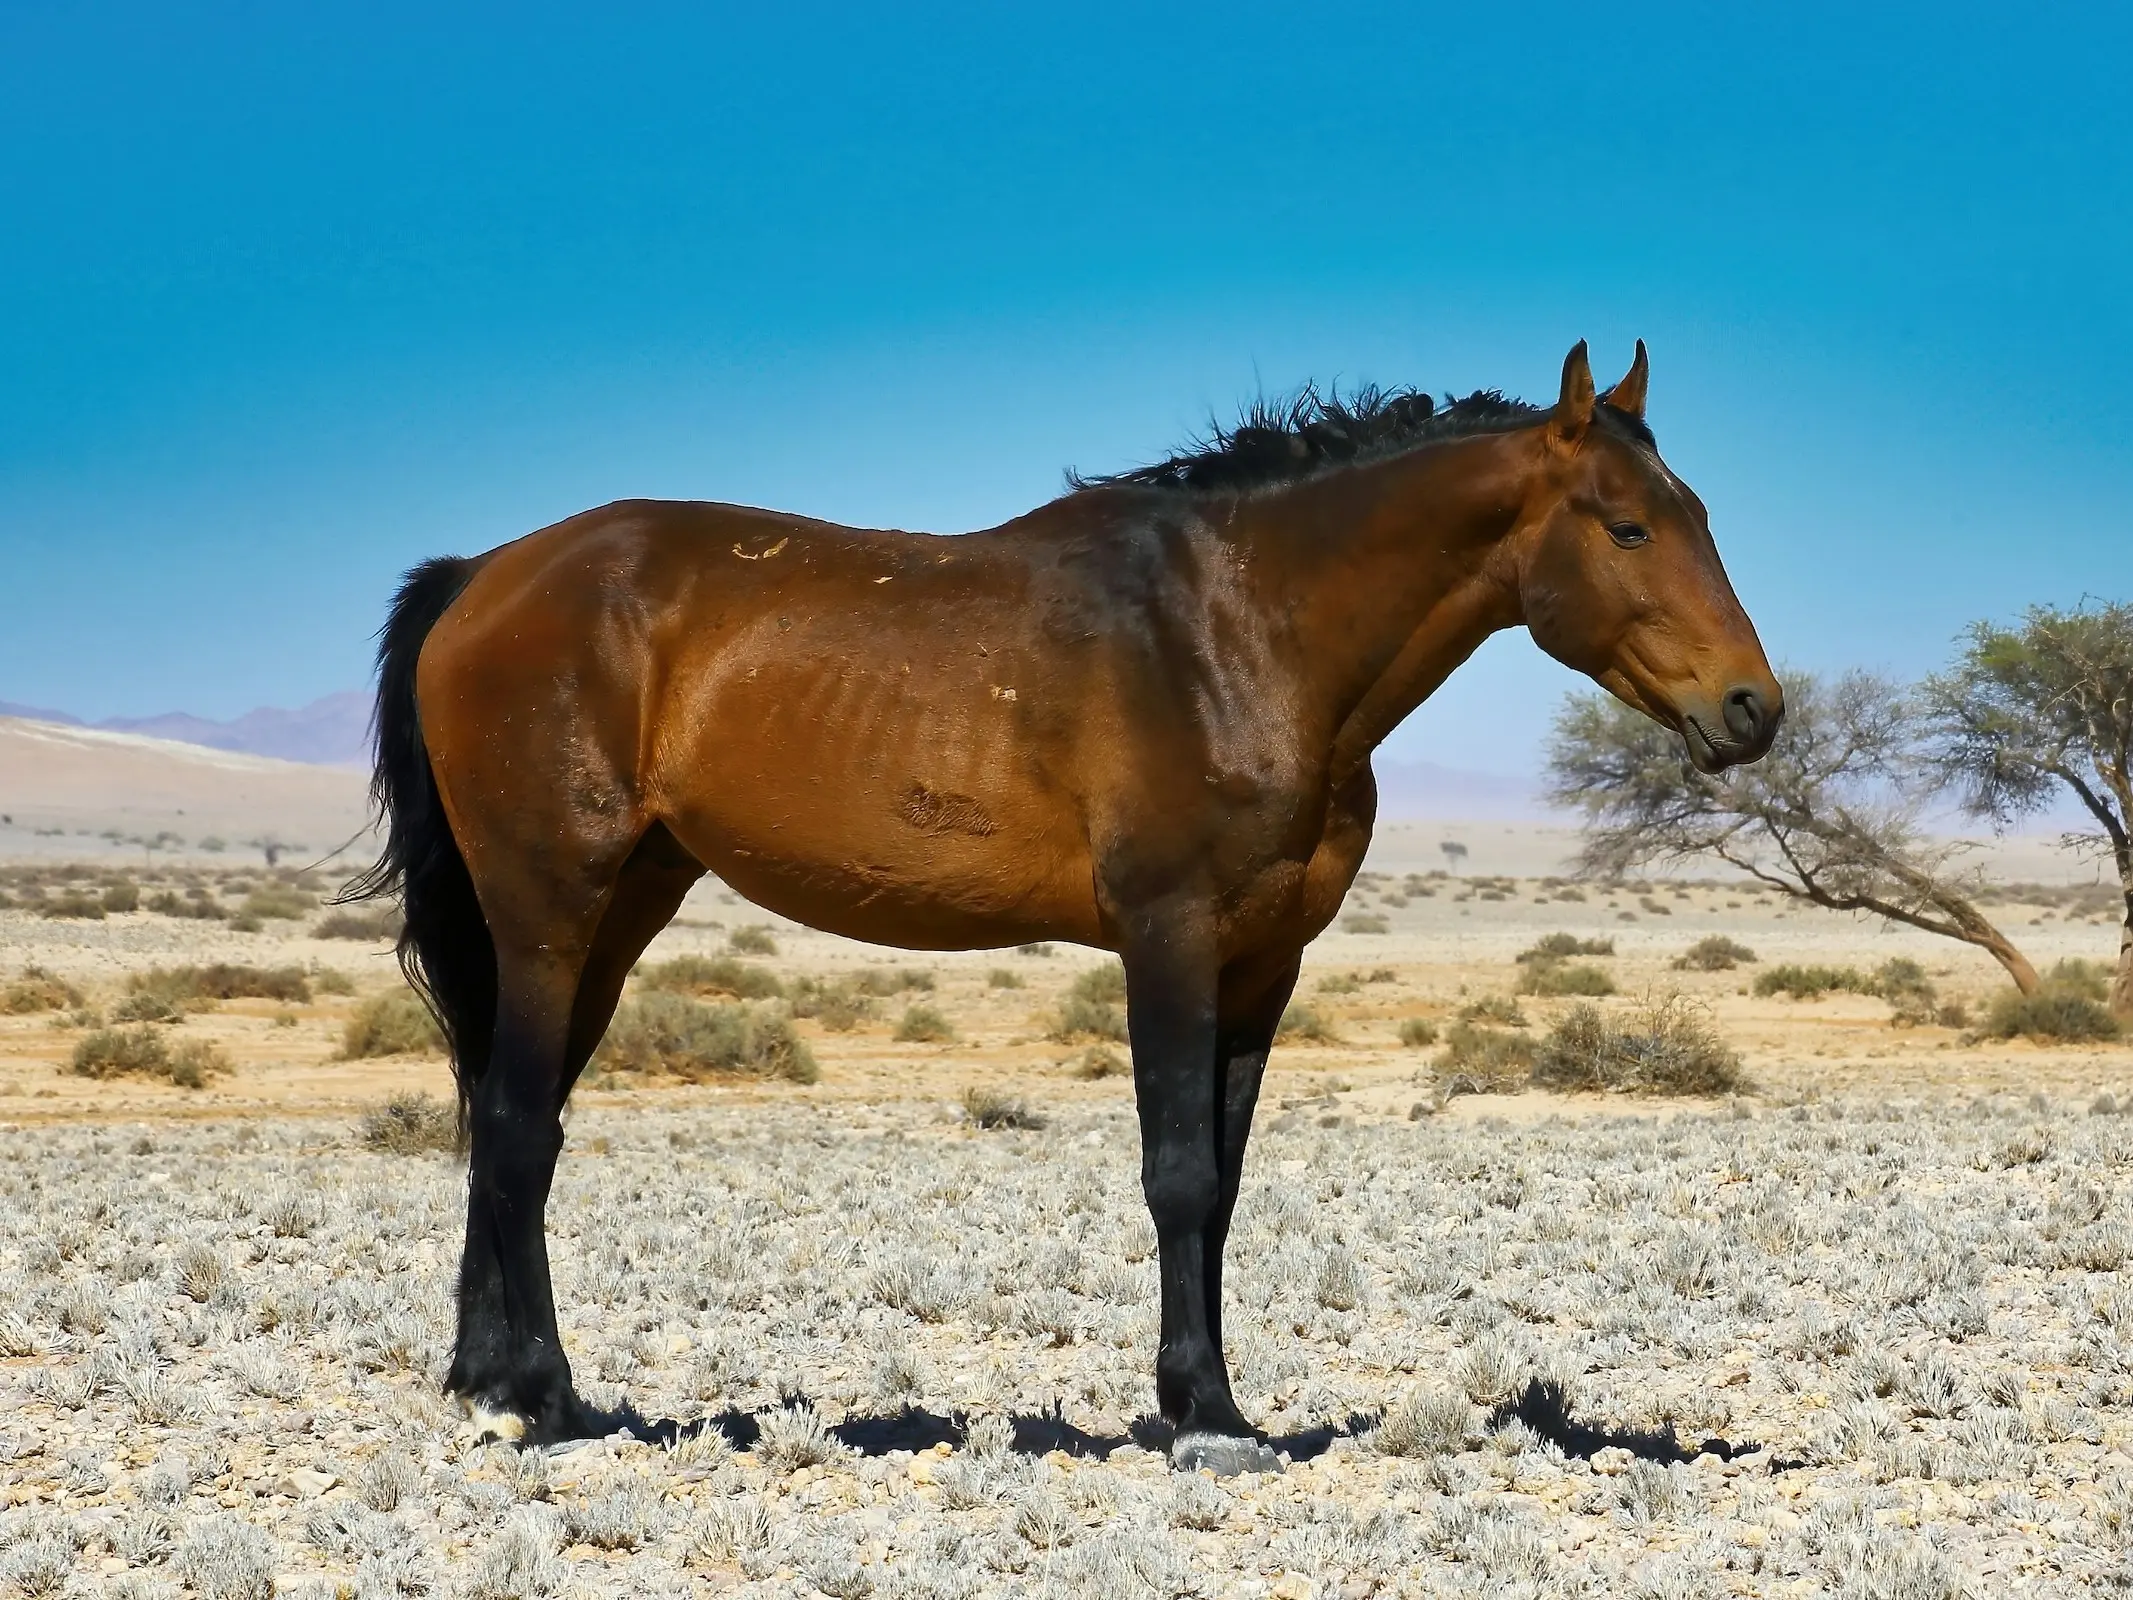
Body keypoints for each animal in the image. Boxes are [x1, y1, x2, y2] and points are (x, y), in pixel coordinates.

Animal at [354, 341, 1783, 1476]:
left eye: (1702, 512)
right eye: (1626, 526)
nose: (1753, 709)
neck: (1238, 631)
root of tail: (484, 575)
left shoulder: (1263, 964)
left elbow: (1226, 1184)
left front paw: (1213, 1402)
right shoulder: (1170, 938)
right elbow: (1179, 1173)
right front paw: (1206, 1418)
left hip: (618, 913)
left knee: (502, 1115)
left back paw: (483, 1382)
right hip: (551, 911)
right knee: (519, 1125)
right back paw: (541, 1399)